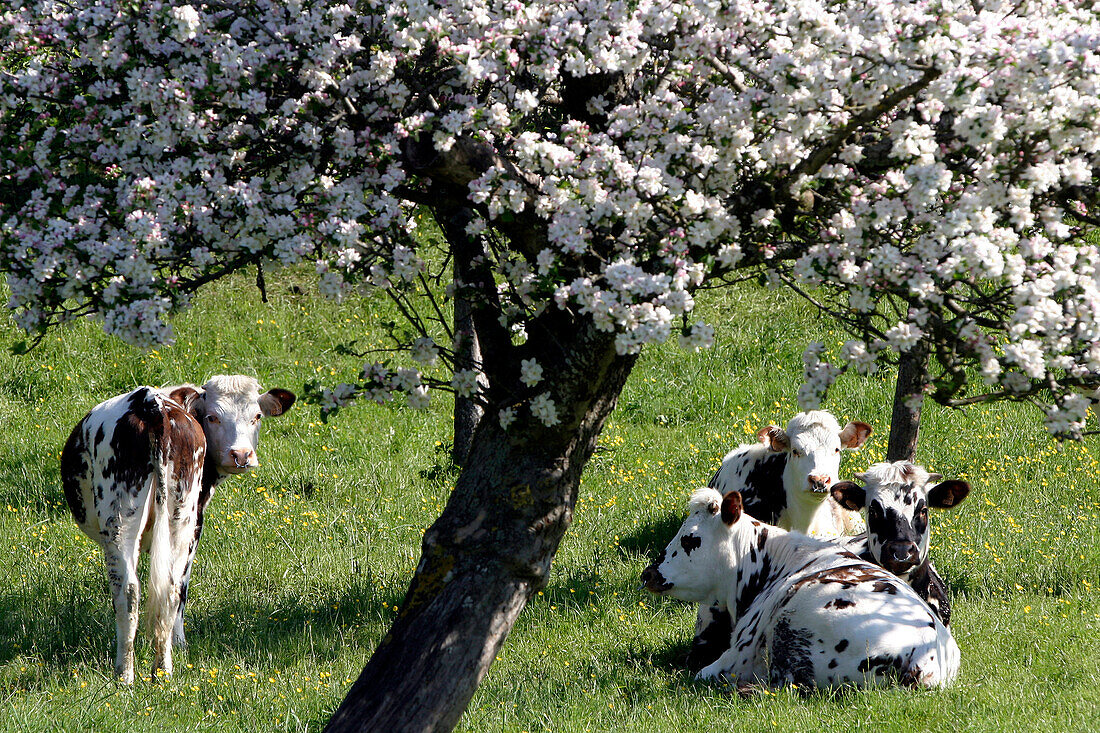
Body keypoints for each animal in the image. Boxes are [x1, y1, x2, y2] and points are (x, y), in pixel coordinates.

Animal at [61, 374, 294, 682]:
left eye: (256, 416)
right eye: (213, 417)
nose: (242, 455)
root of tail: (151, 403)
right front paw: (179, 643)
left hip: (120, 519)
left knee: (128, 591)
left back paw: (125, 673)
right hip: (180, 515)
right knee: (172, 587)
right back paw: (163, 668)